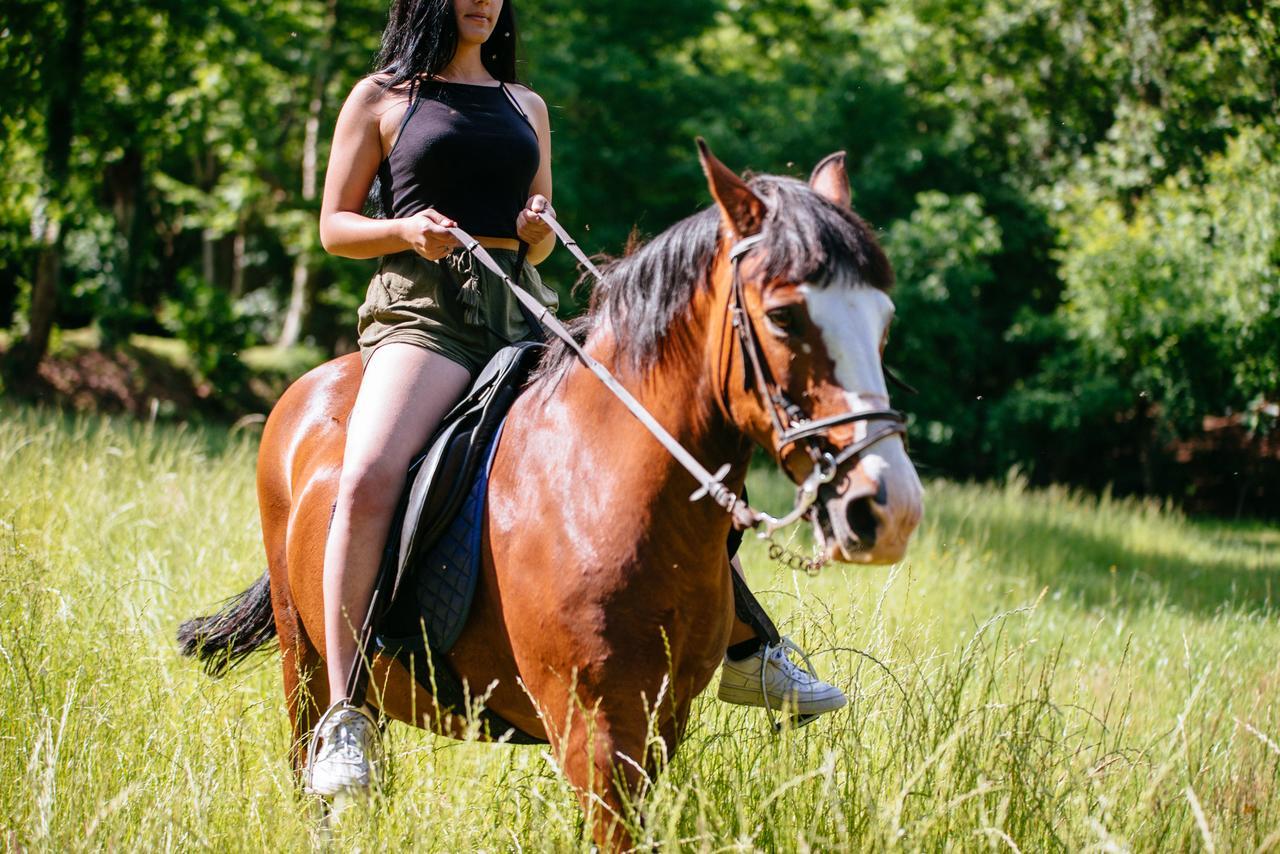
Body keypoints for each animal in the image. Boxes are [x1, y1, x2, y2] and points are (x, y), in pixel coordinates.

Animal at [177, 147, 921, 850]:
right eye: (785, 315)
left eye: (885, 320)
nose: (888, 509)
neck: (603, 490)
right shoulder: (596, 732)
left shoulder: (662, 721)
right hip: (303, 658)